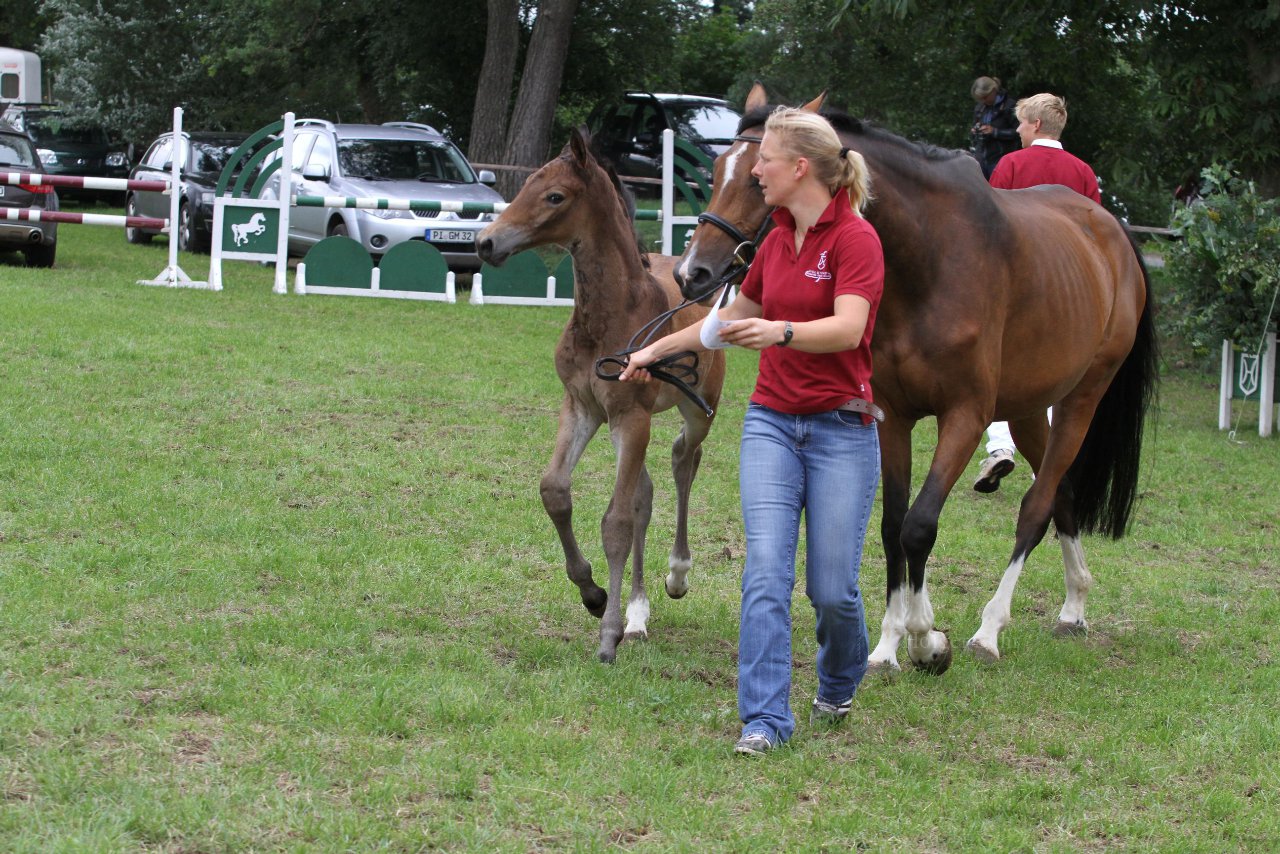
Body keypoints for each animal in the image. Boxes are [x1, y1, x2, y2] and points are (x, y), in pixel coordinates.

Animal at [476, 126, 727, 665]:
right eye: (526, 185)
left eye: (554, 196)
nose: (486, 242)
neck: (609, 317)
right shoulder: (583, 409)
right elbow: (556, 492)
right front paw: (594, 595)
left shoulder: (631, 416)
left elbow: (615, 522)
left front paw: (608, 633)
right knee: (645, 495)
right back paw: (638, 613)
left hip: (696, 411)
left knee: (684, 461)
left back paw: (677, 576)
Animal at [680, 87, 1162, 676]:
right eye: (715, 170)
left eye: (756, 179)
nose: (692, 273)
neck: (929, 261)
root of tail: (1112, 230)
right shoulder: (892, 417)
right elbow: (893, 525)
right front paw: (889, 643)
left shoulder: (965, 417)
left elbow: (920, 524)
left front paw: (925, 637)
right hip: (1029, 406)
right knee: (1062, 494)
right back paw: (1073, 606)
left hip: (1082, 399)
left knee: (1036, 507)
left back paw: (990, 630)